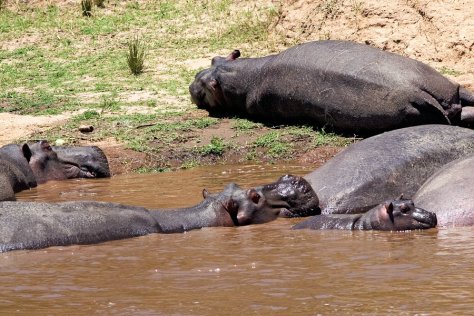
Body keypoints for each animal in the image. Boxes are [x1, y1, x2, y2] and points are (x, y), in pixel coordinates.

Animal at [190, 39, 474, 133]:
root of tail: (412, 90)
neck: (242, 75)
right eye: (213, 59)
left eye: (203, 83)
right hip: (444, 85)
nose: (191, 83)